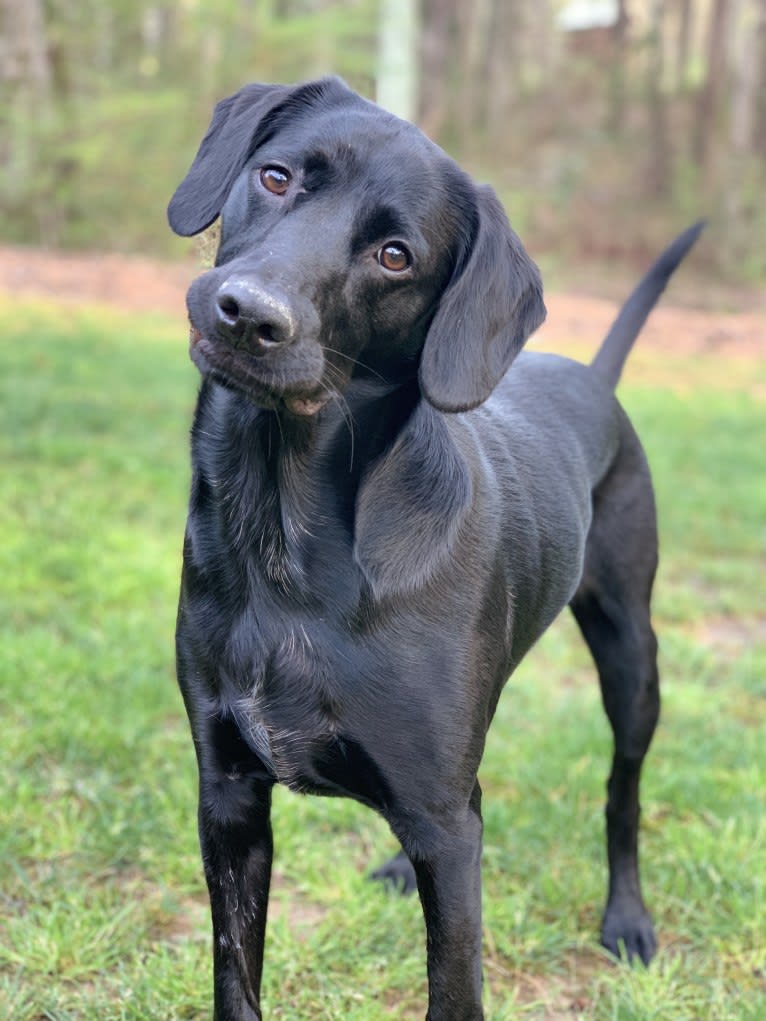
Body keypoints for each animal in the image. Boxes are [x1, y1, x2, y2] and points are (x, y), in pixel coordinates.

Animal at [166, 75, 702, 1016]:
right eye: (275, 176)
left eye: (395, 256)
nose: (248, 314)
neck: (283, 532)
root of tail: (592, 377)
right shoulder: (229, 797)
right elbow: (236, 977)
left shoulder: (448, 835)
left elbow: (454, 988)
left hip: (631, 656)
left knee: (623, 791)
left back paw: (628, 919)